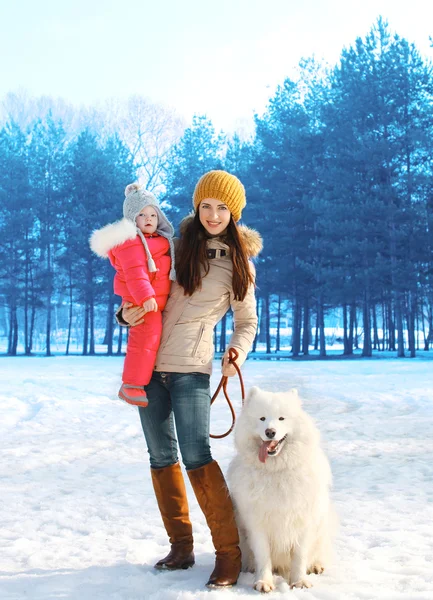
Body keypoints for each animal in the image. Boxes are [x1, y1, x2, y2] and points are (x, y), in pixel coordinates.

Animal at [226, 386, 334, 592]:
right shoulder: (257, 523)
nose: (270, 432)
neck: (276, 470)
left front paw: (299, 582)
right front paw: (264, 582)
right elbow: (263, 556)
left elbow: (300, 556)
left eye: (281, 418)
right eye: (262, 418)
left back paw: (316, 566)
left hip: (323, 526)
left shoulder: (303, 521)